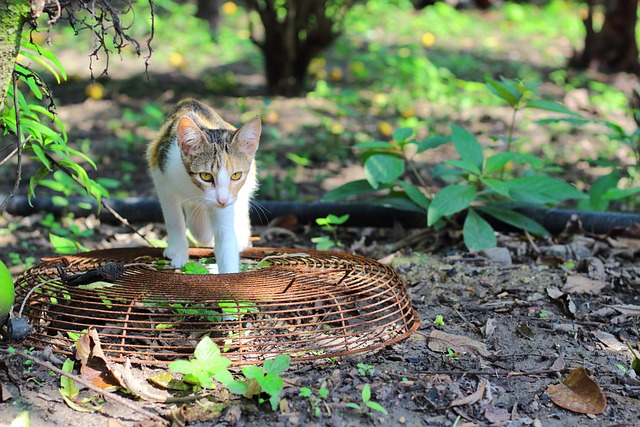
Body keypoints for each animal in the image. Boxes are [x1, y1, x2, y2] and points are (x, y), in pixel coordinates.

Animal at [147, 99, 260, 274]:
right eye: (206, 176)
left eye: (236, 175)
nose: (221, 200)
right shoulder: (161, 175)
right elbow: (173, 219)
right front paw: (178, 250)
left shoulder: (228, 199)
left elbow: (225, 236)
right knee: (198, 228)